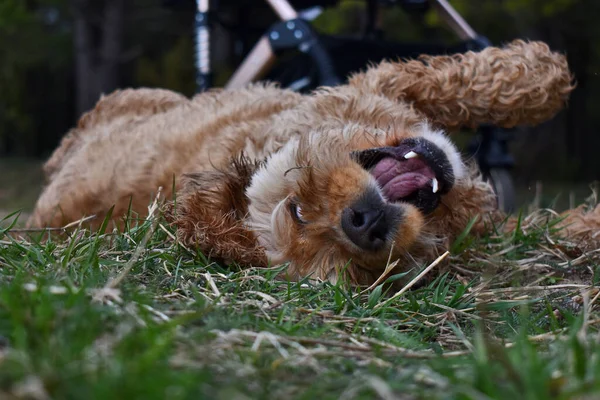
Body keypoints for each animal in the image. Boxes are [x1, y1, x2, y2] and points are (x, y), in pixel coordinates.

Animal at [27, 39, 596, 284]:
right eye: (359, 270)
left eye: (296, 209)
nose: (361, 224)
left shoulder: (379, 87)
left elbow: (469, 80)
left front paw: (539, 76)